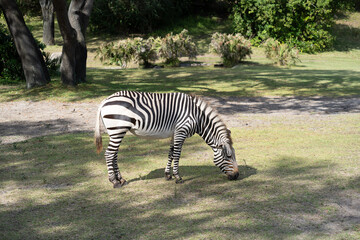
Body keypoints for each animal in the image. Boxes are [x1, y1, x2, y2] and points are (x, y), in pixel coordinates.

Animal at [95, 91, 239, 187]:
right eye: (228, 156)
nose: (237, 176)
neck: (197, 117)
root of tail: (105, 100)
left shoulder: (174, 133)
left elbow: (171, 153)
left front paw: (168, 175)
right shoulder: (181, 131)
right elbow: (177, 154)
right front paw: (178, 177)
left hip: (116, 132)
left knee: (114, 154)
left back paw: (121, 179)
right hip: (117, 130)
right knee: (109, 154)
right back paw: (114, 181)